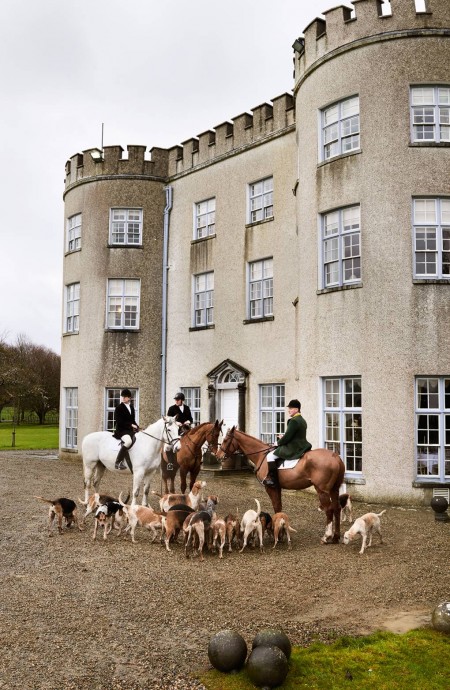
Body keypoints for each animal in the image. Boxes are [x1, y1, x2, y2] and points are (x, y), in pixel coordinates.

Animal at [216, 424, 346, 544]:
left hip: (322, 490)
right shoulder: (277, 487)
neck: (261, 456)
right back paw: (336, 537)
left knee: (329, 510)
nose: (217, 456)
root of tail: (335, 457)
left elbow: (276, 506)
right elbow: (279, 507)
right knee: (337, 508)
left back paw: (326, 537)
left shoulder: (271, 487)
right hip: (334, 489)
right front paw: (281, 531)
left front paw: (278, 532)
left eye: (225, 440)